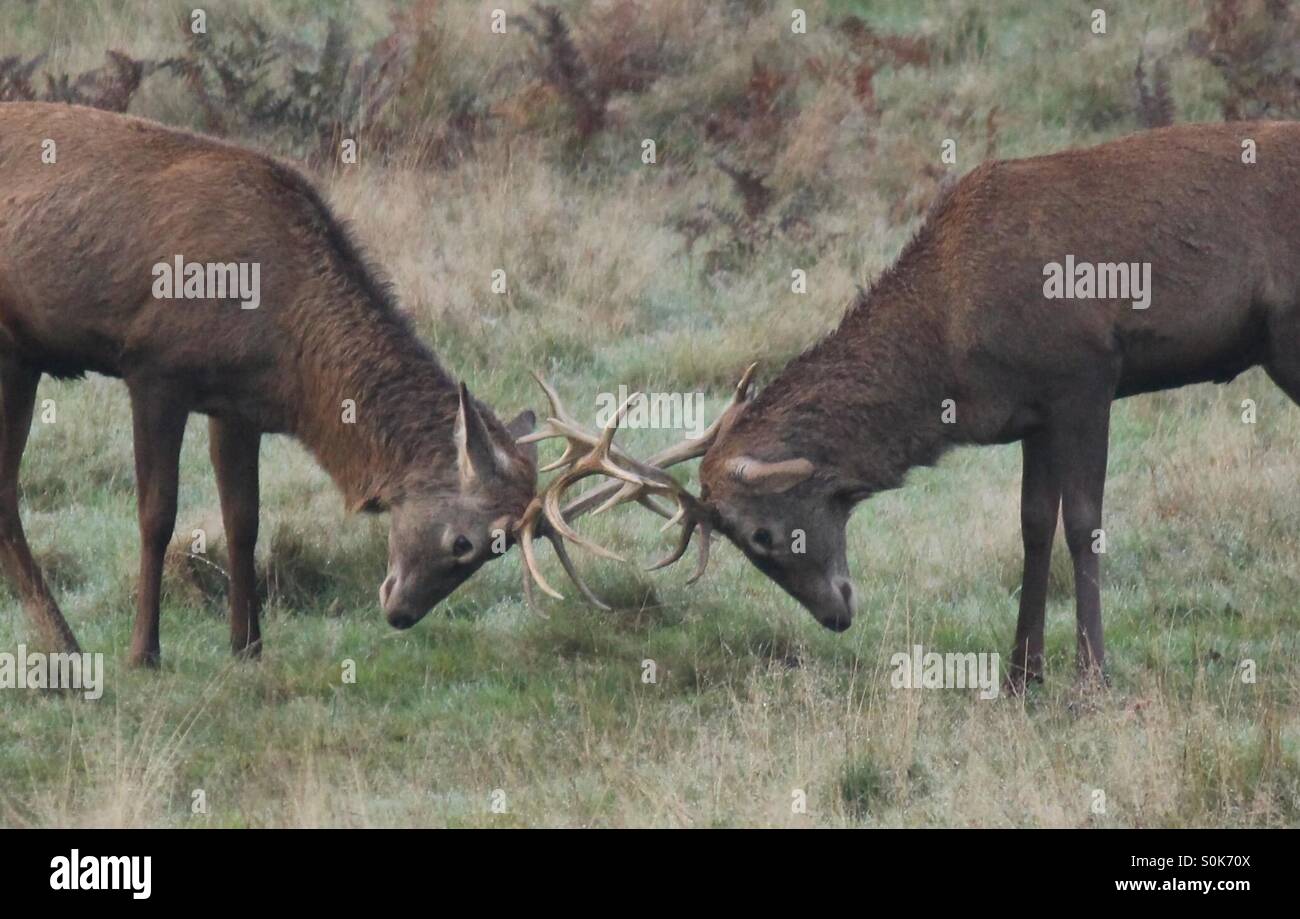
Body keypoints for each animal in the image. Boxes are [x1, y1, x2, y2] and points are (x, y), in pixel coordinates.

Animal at [1, 102, 579, 670]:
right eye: (465, 543)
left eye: (499, 550)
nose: (400, 614)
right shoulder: (155, 368)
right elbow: (157, 515)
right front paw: (144, 653)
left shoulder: (236, 404)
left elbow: (244, 519)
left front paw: (248, 646)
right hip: (14, 354)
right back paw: (66, 647)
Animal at [520, 120, 1300, 691]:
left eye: (762, 536)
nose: (837, 614)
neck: (951, 350)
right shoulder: (1035, 411)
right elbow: (1032, 525)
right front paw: (1021, 676)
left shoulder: (1085, 373)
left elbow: (1083, 525)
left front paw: (1093, 677)